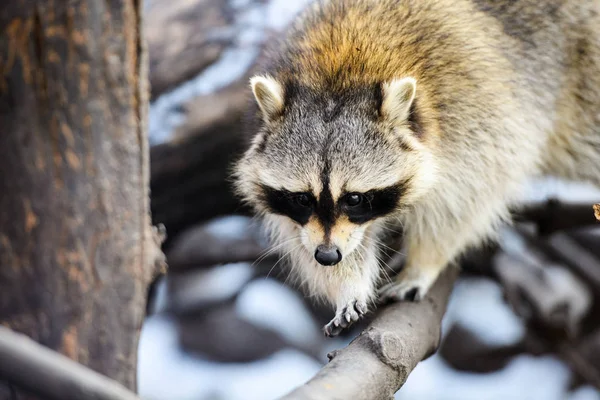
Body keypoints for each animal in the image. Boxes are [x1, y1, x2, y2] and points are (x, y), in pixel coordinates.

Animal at [232, 0, 596, 338]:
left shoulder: (475, 119)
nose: (328, 256)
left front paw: (423, 264)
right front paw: (346, 284)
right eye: (302, 198)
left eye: (354, 198)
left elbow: (462, 205)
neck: (338, 74)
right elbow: (309, 238)